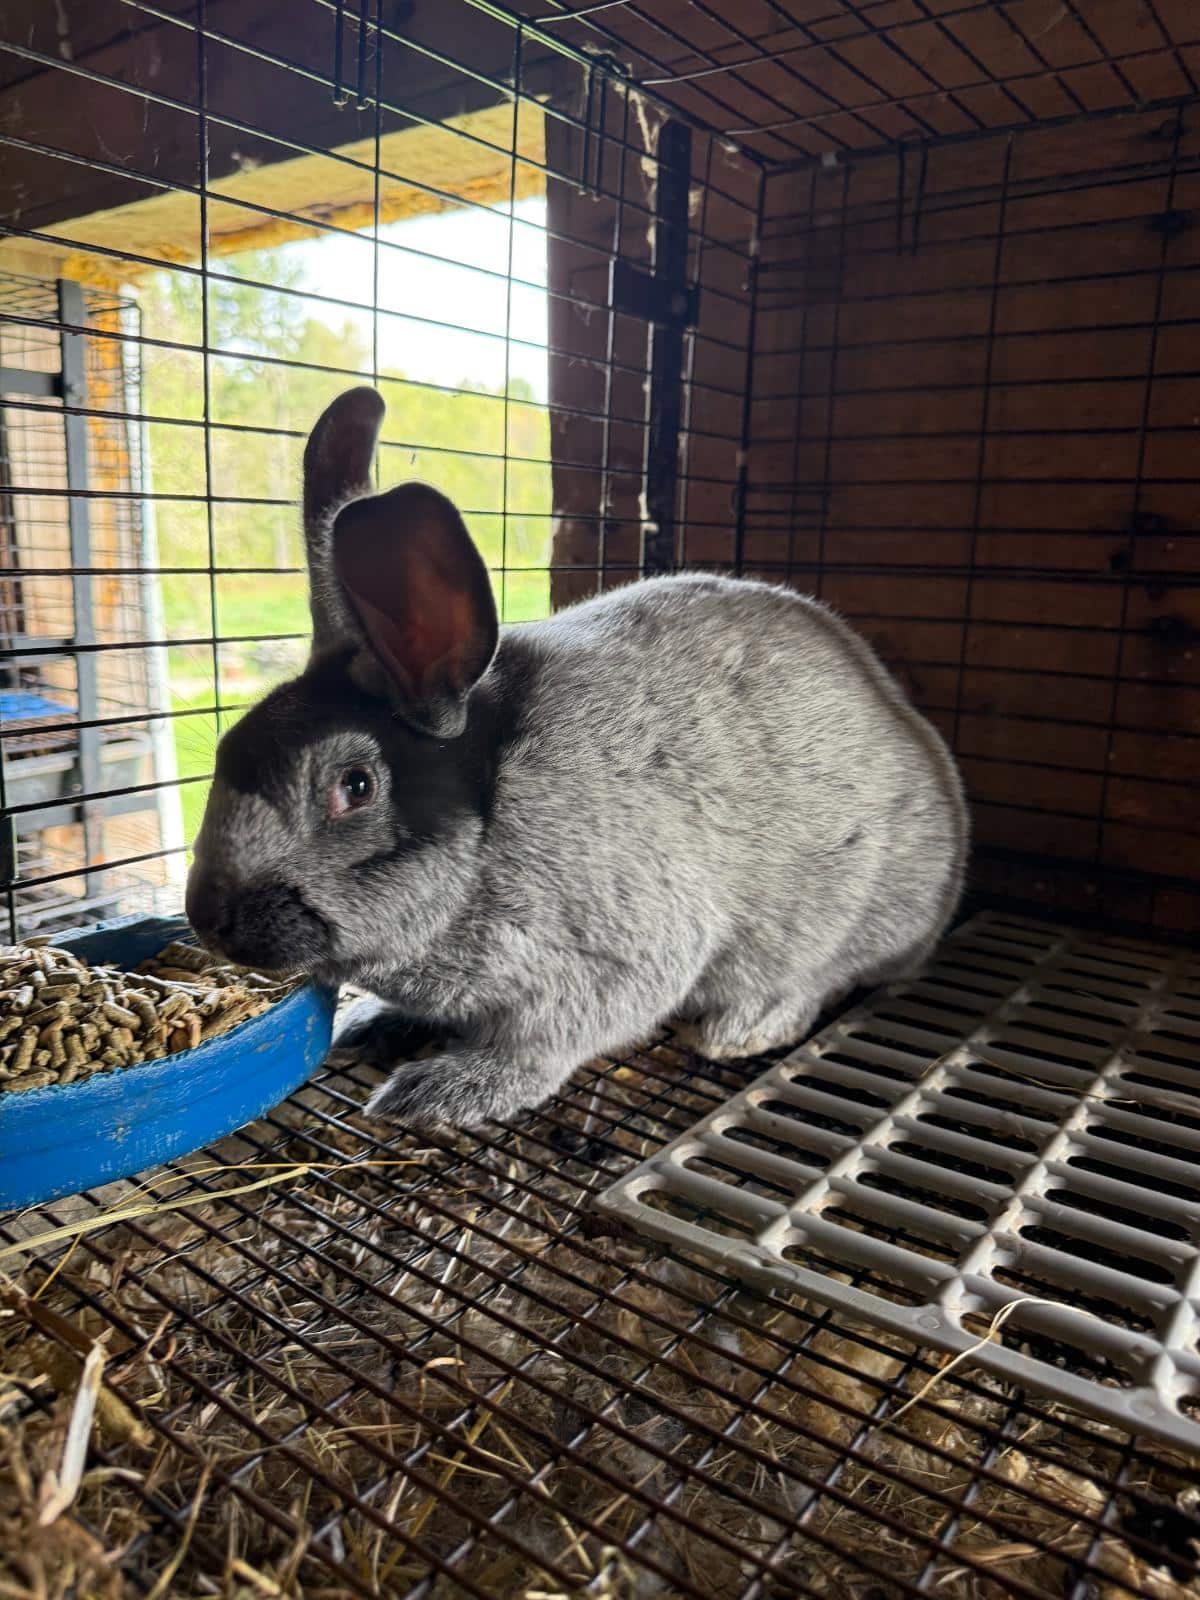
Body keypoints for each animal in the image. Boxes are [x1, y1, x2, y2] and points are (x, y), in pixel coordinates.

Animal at [186, 386, 969, 1130]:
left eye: (355, 785)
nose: (206, 919)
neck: (488, 837)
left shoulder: (611, 964)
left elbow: (540, 1050)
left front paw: (442, 1091)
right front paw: (371, 1023)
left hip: (832, 921)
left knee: (818, 977)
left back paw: (736, 1031)